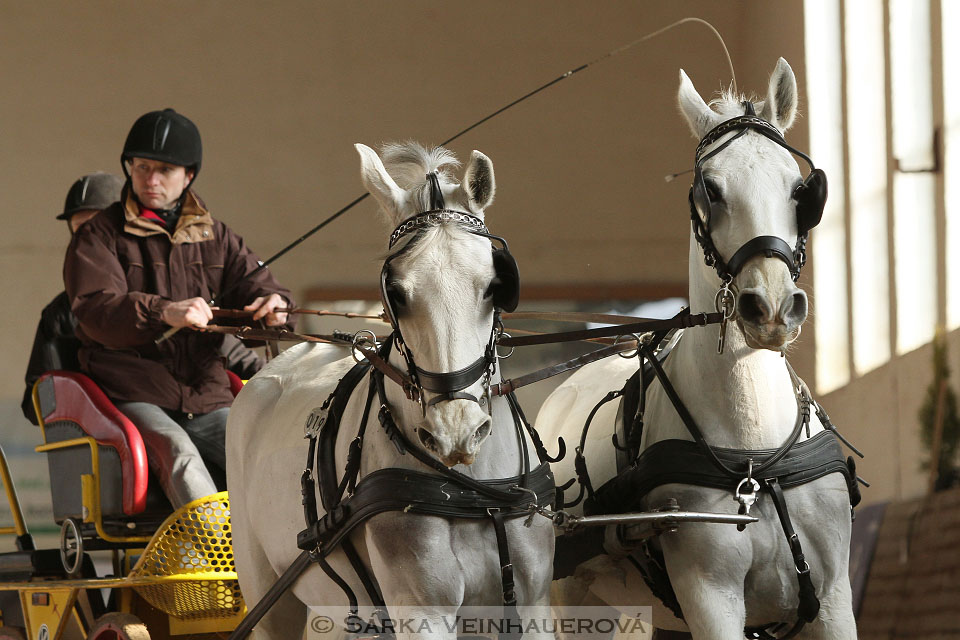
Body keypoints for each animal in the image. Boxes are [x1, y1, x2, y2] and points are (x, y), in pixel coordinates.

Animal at [227, 144, 556, 640]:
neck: (473, 490)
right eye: (396, 292)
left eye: (495, 286)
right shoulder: (421, 612)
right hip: (270, 600)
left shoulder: (532, 604)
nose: (455, 432)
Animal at [536, 57, 860, 636]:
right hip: (573, 599)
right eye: (710, 189)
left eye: (799, 188)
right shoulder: (710, 595)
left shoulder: (834, 597)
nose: (771, 307)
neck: (755, 461)